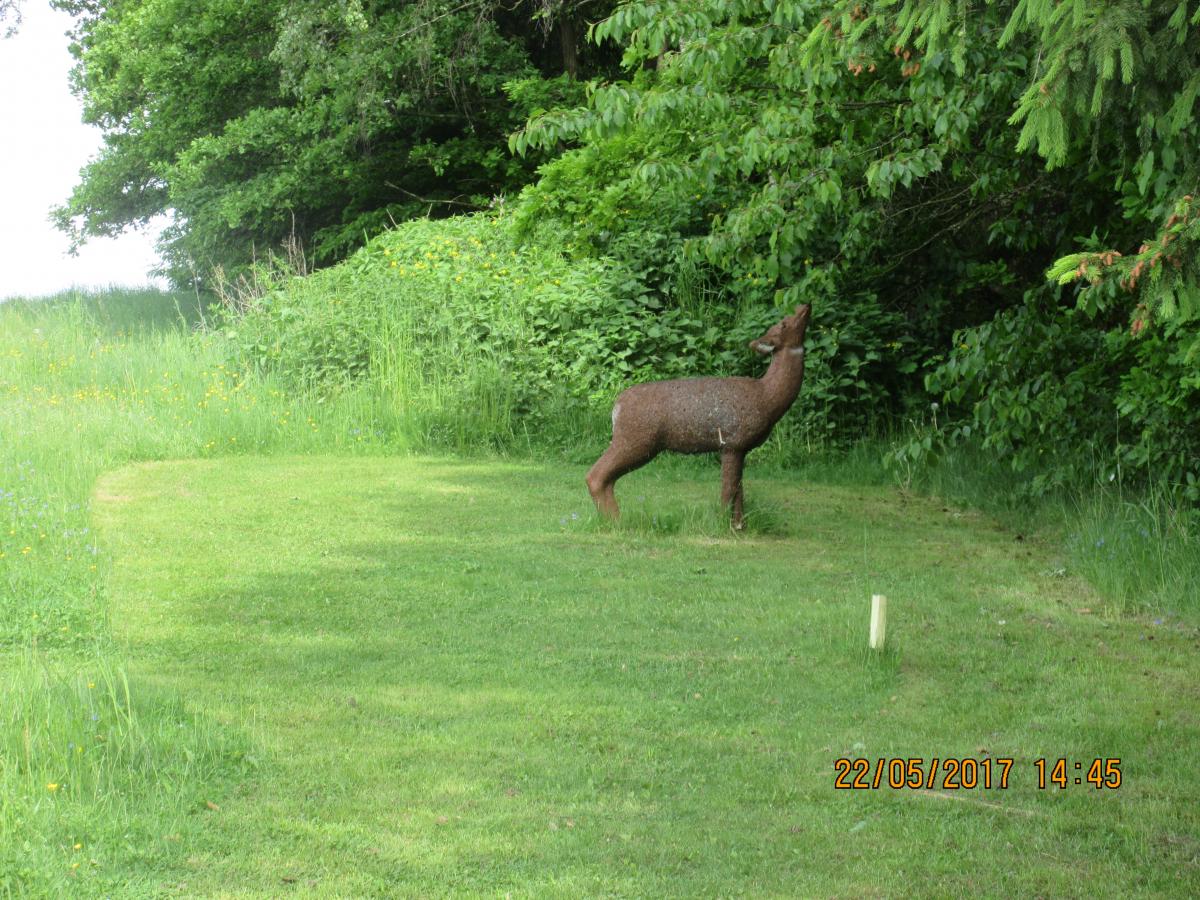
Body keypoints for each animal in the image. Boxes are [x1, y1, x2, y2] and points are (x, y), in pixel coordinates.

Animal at [585, 307, 811, 528]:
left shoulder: (740, 449)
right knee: (595, 475)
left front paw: (739, 526)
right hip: (636, 440)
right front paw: (725, 525)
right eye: (783, 323)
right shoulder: (732, 442)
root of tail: (616, 408)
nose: (804, 307)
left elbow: (739, 490)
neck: (766, 398)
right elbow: (728, 490)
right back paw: (616, 522)